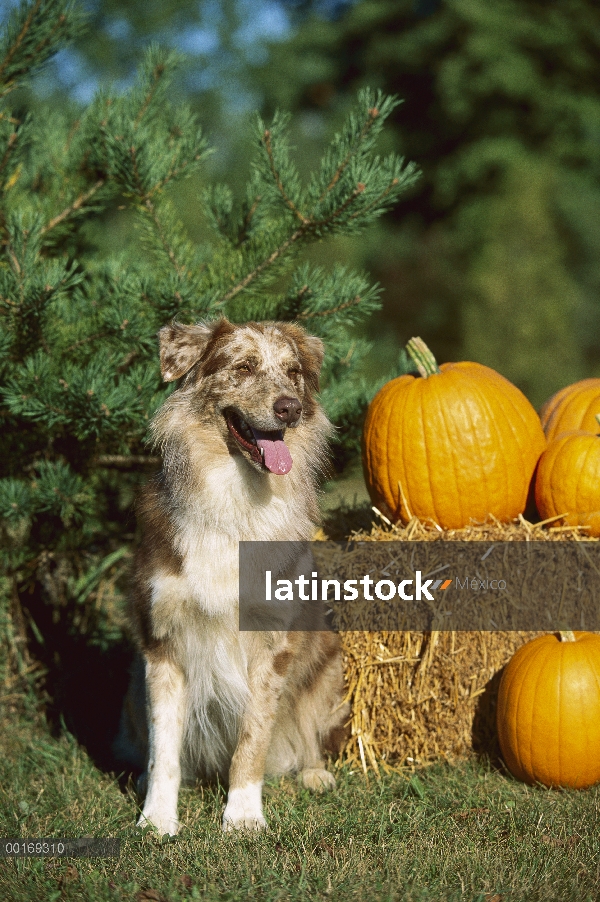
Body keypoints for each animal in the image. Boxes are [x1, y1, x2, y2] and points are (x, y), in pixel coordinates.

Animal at [116, 316, 346, 832]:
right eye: (243, 367)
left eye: (293, 372)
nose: (290, 407)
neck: (236, 498)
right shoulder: (162, 641)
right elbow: (165, 747)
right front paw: (156, 820)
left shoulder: (273, 644)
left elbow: (253, 736)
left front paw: (241, 817)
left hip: (327, 659)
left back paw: (315, 773)